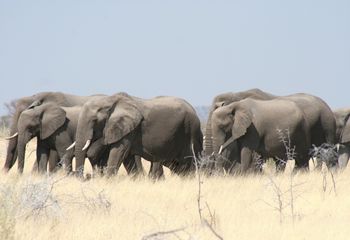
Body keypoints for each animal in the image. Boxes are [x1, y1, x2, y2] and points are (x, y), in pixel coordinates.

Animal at [74, 93, 204, 177]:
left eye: (95, 120)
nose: (86, 177)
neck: (110, 100)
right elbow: (128, 158)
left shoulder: (129, 130)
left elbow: (118, 152)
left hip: (190, 131)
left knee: (188, 164)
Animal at [205, 89, 336, 172]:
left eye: (223, 126)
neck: (238, 96)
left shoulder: (254, 128)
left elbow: (248, 154)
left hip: (326, 125)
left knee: (323, 154)